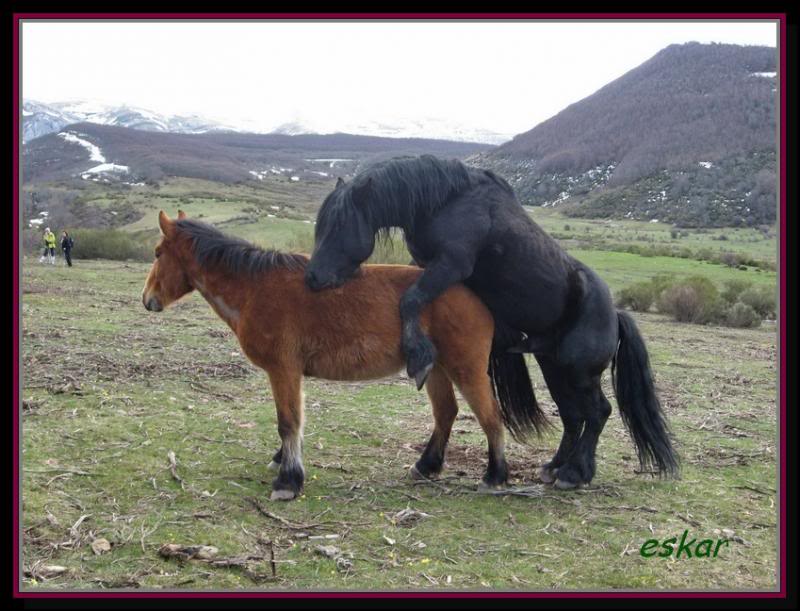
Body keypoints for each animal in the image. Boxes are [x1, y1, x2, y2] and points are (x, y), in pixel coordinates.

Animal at [143, 213, 520, 500]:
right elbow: (293, 422)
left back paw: (494, 476)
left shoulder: (283, 370)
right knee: (446, 414)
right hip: (437, 370)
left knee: (490, 417)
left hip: (466, 370)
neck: (255, 289)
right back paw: (426, 466)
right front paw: (283, 462)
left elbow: (288, 422)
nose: (148, 300)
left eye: (158, 252)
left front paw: (288, 481)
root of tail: (475, 296)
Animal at [304, 157, 680, 488]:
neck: (445, 203)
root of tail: (615, 314)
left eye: (338, 225)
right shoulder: (427, 265)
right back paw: (554, 467)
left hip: (579, 373)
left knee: (599, 412)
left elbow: (410, 299)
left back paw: (575, 474)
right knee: (574, 416)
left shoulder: (451, 264)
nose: (312, 278)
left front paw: (418, 357)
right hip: (554, 367)